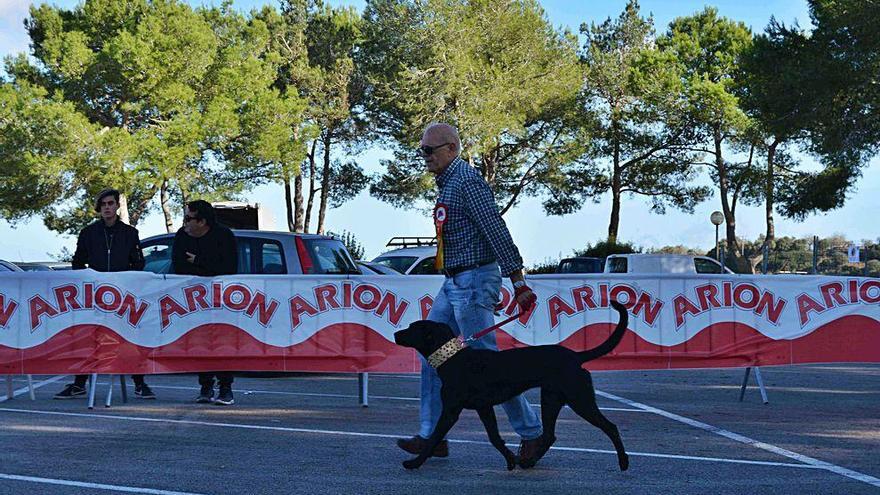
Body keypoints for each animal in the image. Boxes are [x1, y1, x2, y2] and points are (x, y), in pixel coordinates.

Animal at [394, 300, 632, 470]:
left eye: (412, 328)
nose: (396, 334)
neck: (453, 360)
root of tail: (576, 357)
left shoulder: (451, 411)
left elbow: (434, 438)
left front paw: (414, 463)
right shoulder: (484, 408)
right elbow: (495, 438)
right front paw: (510, 460)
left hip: (579, 399)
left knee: (610, 427)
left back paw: (623, 462)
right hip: (551, 399)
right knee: (549, 436)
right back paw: (528, 462)